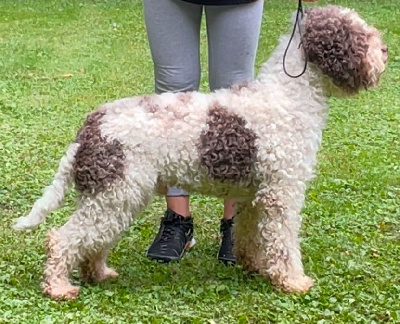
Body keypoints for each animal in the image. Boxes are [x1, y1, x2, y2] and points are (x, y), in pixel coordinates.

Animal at [13, 5, 388, 300]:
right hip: (114, 195)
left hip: (113, 197)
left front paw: (253, 266)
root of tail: (90, 125)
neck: (288, 97)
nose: (384, 49)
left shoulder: (255, 196)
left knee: (91, 240)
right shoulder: (282, 194)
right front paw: (294, 281)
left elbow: (250, 234)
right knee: (61, 239)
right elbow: (284, 243)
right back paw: (59, 287)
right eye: (358, 34)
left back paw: (99, 273)